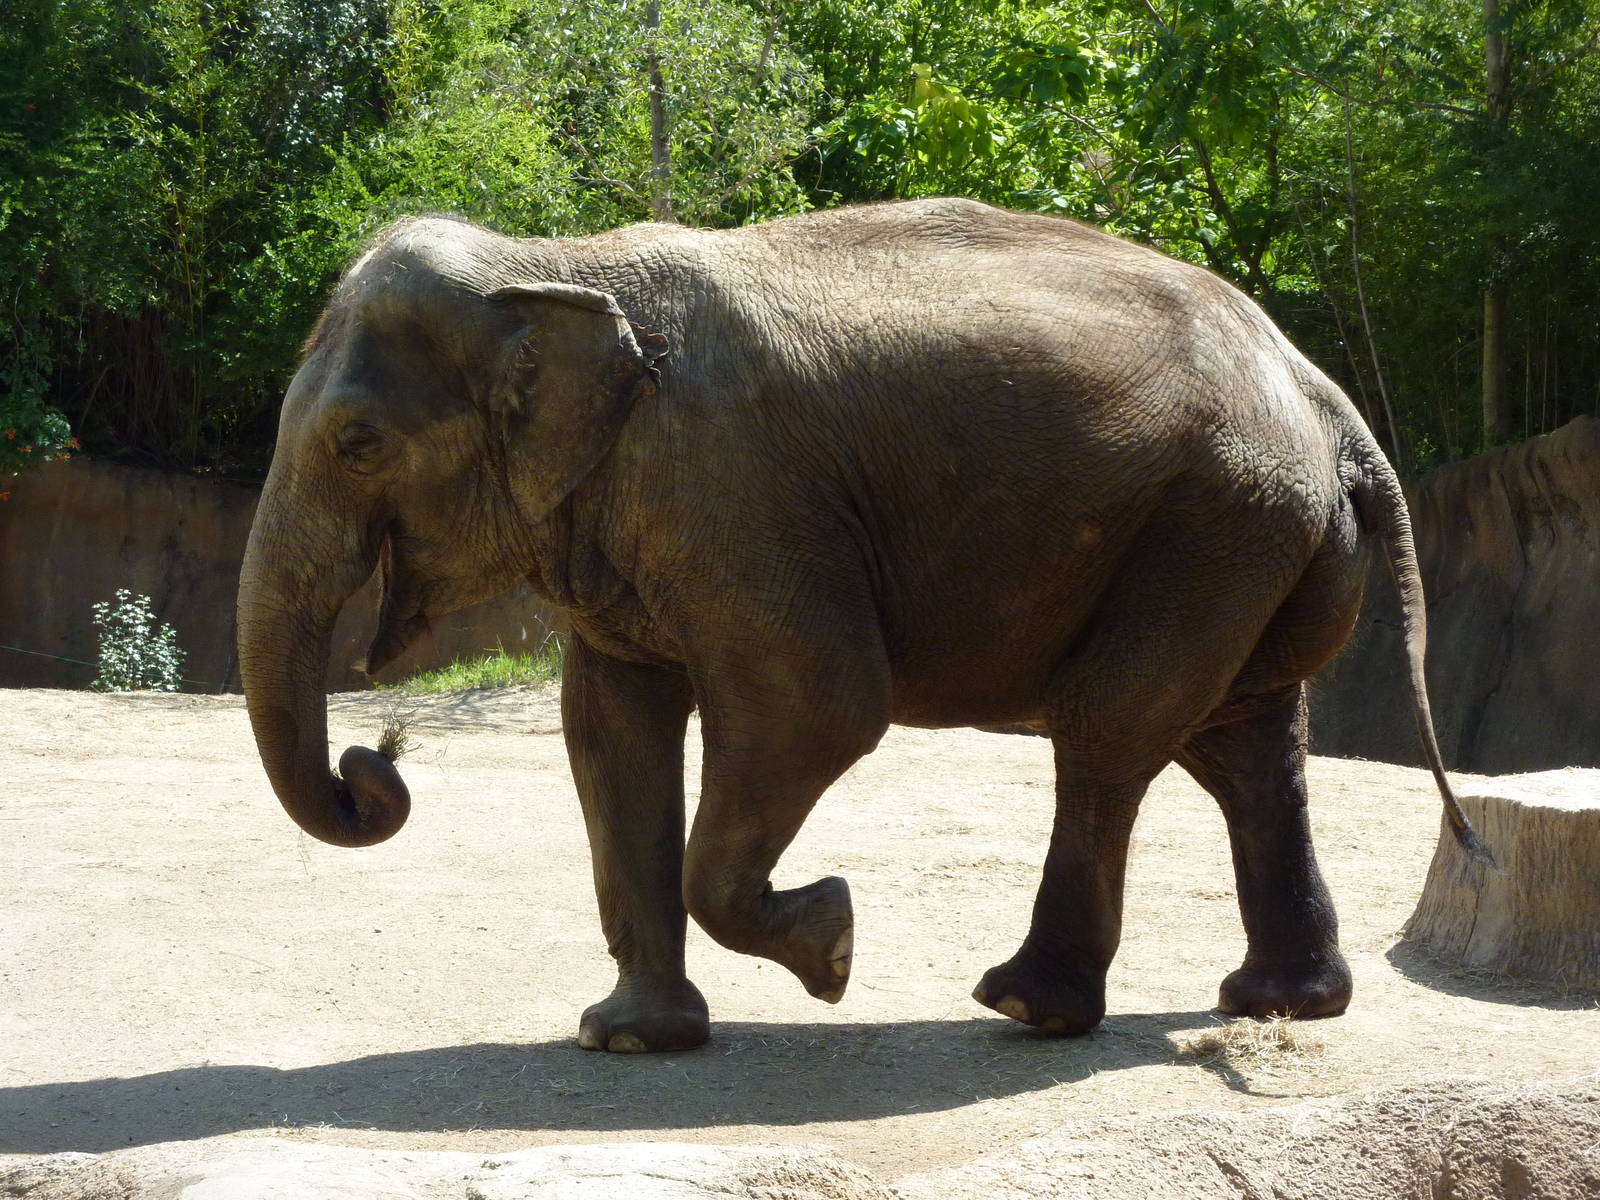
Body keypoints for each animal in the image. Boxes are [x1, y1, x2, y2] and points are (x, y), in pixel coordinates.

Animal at [237, 197, 1487, 1055]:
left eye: (356, 442)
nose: (378, 760)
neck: (549, 265)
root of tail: (1328, 401)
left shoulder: (732, 493)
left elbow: (817, 704)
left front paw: (831, 948)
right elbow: (609, 729)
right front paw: (629, 1037)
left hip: (1213, 523)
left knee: (1112, 728)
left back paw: (1025, 1006)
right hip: (1253, 538)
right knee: (1240, 743)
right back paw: (1280, 1003)